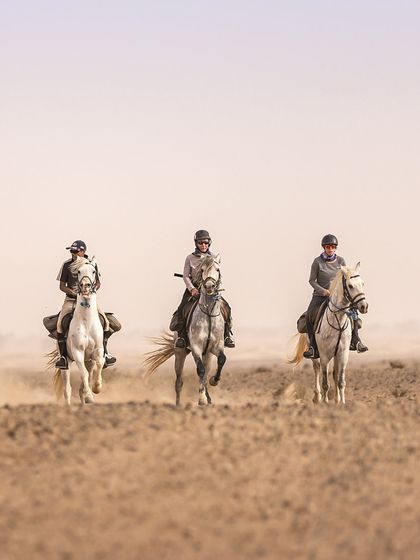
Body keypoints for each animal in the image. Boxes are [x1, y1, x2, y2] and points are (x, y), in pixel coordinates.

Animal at [53, 256, 106, 404]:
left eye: (94, 271)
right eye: (78, 271)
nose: (85, 286)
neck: (86, 322)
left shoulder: (98, 350)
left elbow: (99, 364)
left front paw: (96, 388)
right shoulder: (77, 352)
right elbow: (84, 374)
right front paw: (89, 395)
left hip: (88, 360)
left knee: (84, 382)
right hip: (66, 363)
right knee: (67, 389)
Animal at [146, 255, 228, 406]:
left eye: (218, 269)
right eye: (202, 269)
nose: (209, 286)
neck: (208, 314)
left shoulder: (216, 347)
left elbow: (221, 360)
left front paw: (214, 381)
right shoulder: (196, 347)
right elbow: (200, 370)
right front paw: (201, 399)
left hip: (207, 355)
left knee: (205, 375)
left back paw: (209, 397)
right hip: (180, 353)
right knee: (179, 381)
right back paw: (179, 403)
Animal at [290, 264, 370, 404]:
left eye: (362, 283)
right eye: (350, 286)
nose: (364, 306)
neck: (337, 320)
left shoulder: (343, 354)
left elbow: (340, 380)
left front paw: (342, 403)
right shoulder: (324, 355)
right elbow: (325, 382)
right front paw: (325, 403)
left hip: (336, 355)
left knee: (334, 374)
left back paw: (336, 399)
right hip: (315, 354)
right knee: (316, 369)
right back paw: (317, 397)